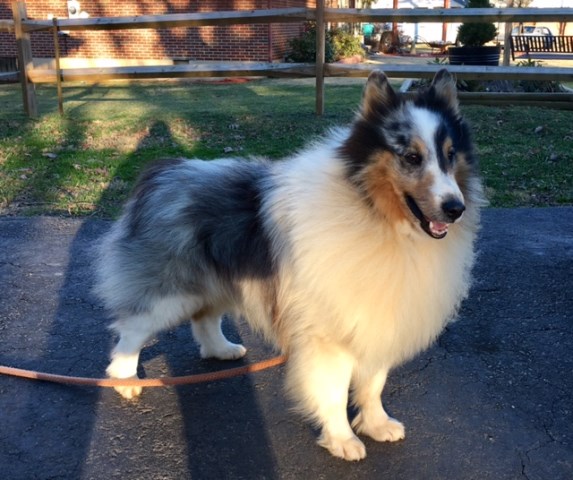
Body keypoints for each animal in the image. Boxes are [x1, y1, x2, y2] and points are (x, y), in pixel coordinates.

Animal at [94, 68, 482, 462]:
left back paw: (222, 350)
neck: (375, 214)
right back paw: (125, 379)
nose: (455, 208)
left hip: (220, 278)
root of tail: (162, 172)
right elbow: (334, 392)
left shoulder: (376, 320)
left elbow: (373, 383)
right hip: (173, 289)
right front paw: (343, 440)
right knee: (134, 328)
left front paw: (376, 424)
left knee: (204, 319)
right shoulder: (328, 333)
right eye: (411, 157)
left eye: (451, 155)